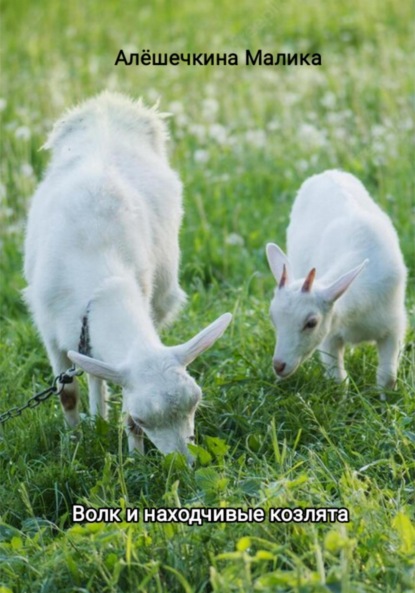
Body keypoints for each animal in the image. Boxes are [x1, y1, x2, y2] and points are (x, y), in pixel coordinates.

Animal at [24, 91, 232, 458]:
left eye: (195, 403)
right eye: (147, 417)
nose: (186, 463)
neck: (102, 282)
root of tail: (107, 101)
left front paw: (134, 457)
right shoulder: (49, 329)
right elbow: (67, 393)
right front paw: (75, 443)